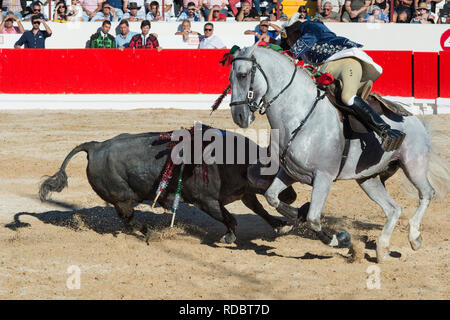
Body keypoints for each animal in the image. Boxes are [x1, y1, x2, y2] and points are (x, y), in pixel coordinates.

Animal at [40, 129, 298, 244]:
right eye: (273, 174)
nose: (293, 196)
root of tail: (95, 146)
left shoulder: (244, 193)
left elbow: (260, 210)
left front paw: (281, 225)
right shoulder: (207, 202)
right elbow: (229, 217)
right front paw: (230, 235)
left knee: (127, 220)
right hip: (121, 199)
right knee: (129, 219)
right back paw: (150, 233)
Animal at [230, 43, 448, 262]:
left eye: (242, 75)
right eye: (230, 79)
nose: (239, 116)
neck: (299, 115)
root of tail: (415, 119)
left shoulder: (323, 178)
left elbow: (313, 219)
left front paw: (340, 239)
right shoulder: (291, 172)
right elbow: (272, 197)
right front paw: (297, 214)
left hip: (413, 165)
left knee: (427, 193)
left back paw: (414, 237)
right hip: (368, 178)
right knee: (393, 209)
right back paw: (382, 248)